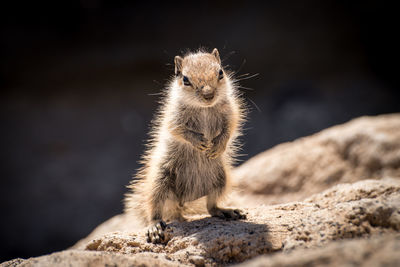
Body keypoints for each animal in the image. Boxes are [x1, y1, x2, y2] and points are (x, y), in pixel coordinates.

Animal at [125, 48, 245, 245]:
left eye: (220, 72)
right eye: (185, 79)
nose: (208, 95)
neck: (204, 108)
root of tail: (182, 202)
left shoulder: (231, 111)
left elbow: (230, 127)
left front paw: (218, 146)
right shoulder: (172, 117)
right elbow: (178, 130)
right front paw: (198, 141)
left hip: (222, 179)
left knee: (211, 206)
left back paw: (226, 211)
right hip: (159, 180)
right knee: (153, 206)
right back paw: (154, 226)